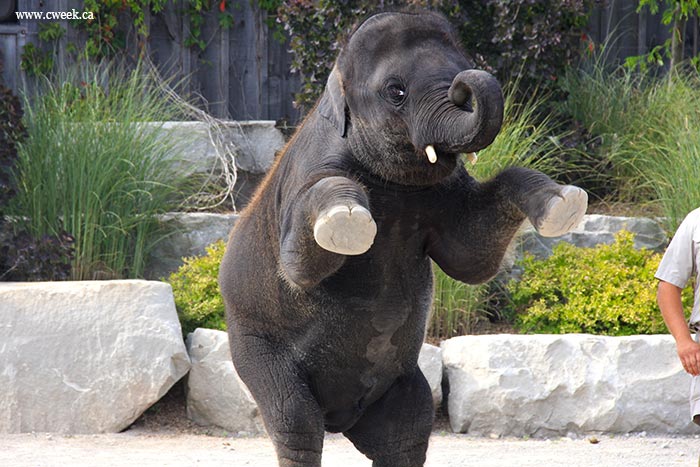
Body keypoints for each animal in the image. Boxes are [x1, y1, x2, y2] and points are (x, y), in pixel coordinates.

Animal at [219, 10, 587, 467]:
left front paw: (565, 203)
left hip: (401, 385)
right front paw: (349, 217)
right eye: (396, 91)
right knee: (296, 424)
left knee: (406, 434)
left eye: (460, 64)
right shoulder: (306, 177)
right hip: (257, 349)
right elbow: (300, 267)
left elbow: (472, 259)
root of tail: (341, 417)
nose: (465, 83)